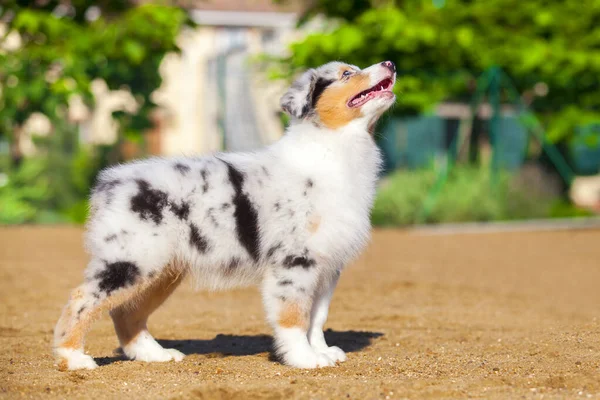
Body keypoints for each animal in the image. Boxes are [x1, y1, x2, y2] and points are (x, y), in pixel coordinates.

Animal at [54, 61, 396, 370]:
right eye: (347, 74)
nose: (390, 63)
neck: (335, 147)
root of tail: (109, 181)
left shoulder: (328, 264)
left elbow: (317, 317)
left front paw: (322, 351)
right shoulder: (294, 261)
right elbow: (294, 315)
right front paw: (304, 359)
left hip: (161, 270)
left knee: (126, 313)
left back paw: (154, 354)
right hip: (131, 260)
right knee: (81, 298)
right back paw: (73, 358)